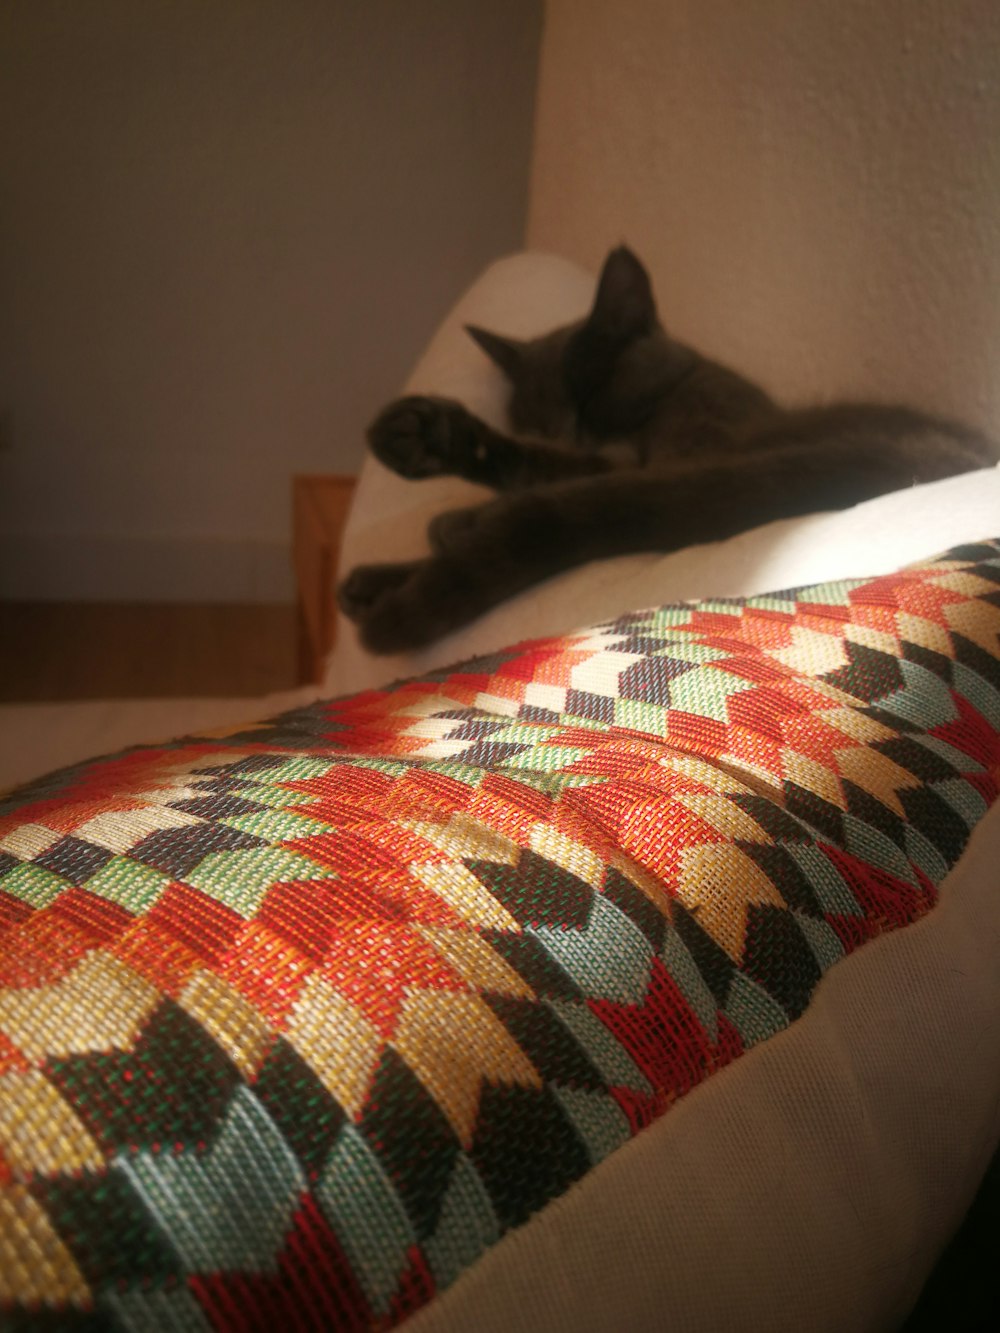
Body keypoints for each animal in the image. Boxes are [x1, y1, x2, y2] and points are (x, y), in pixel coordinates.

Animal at [341, 249, 997, 655]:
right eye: (533, 416)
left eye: (590, 396)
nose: (565, 431)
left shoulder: (672, 450)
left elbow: (549, 472)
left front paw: (440, 479)